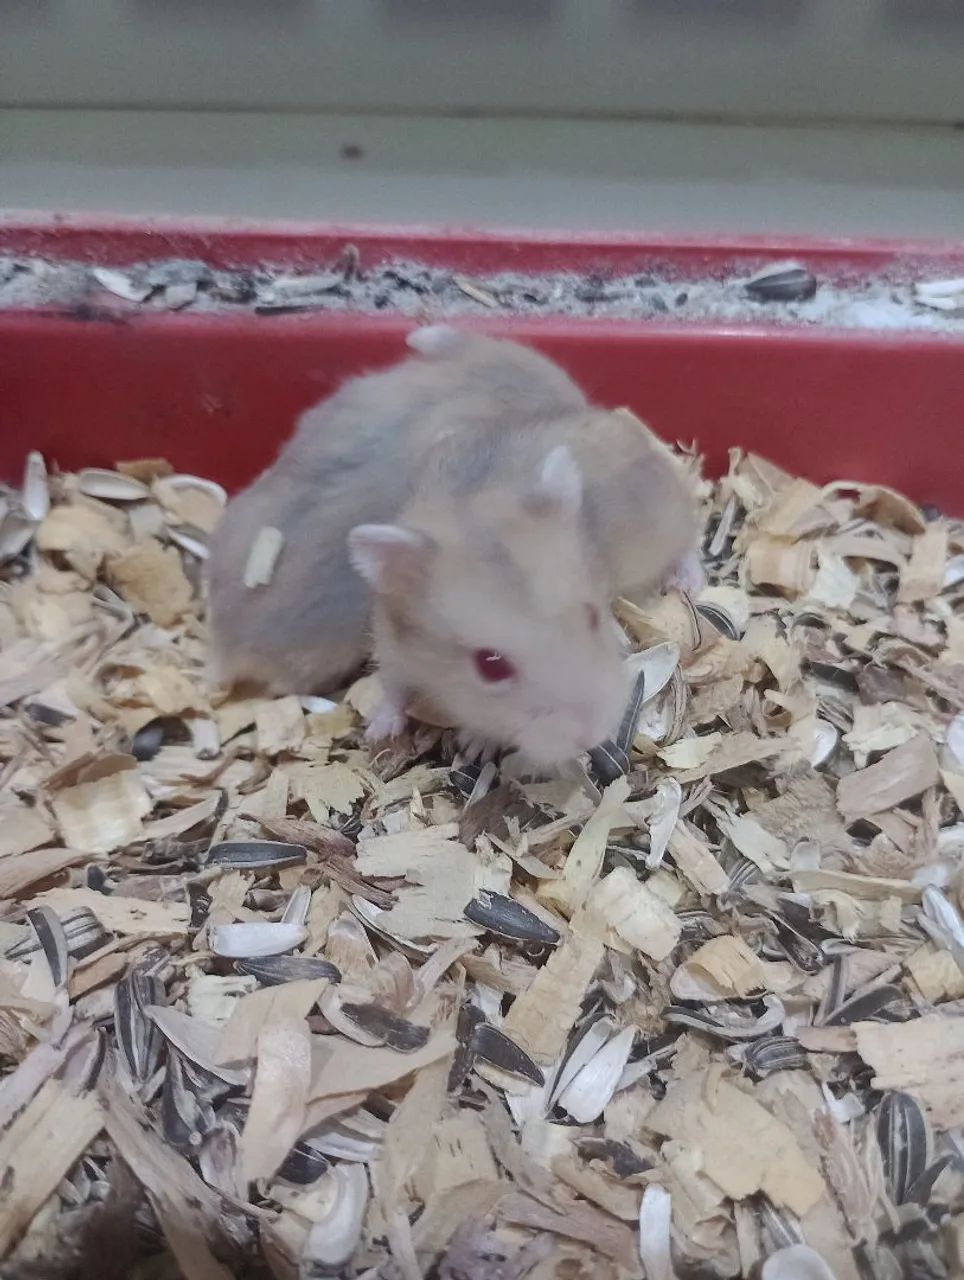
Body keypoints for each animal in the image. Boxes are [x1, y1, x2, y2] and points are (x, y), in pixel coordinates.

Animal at [207, 326, 699, 765]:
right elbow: (394, 687)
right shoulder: (391, 643)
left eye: (593, 617)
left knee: (689, 537)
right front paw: (379, 731)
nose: (595, 734)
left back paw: (688, 581)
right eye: (490, 665)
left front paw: (475, 745)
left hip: (663, 523)